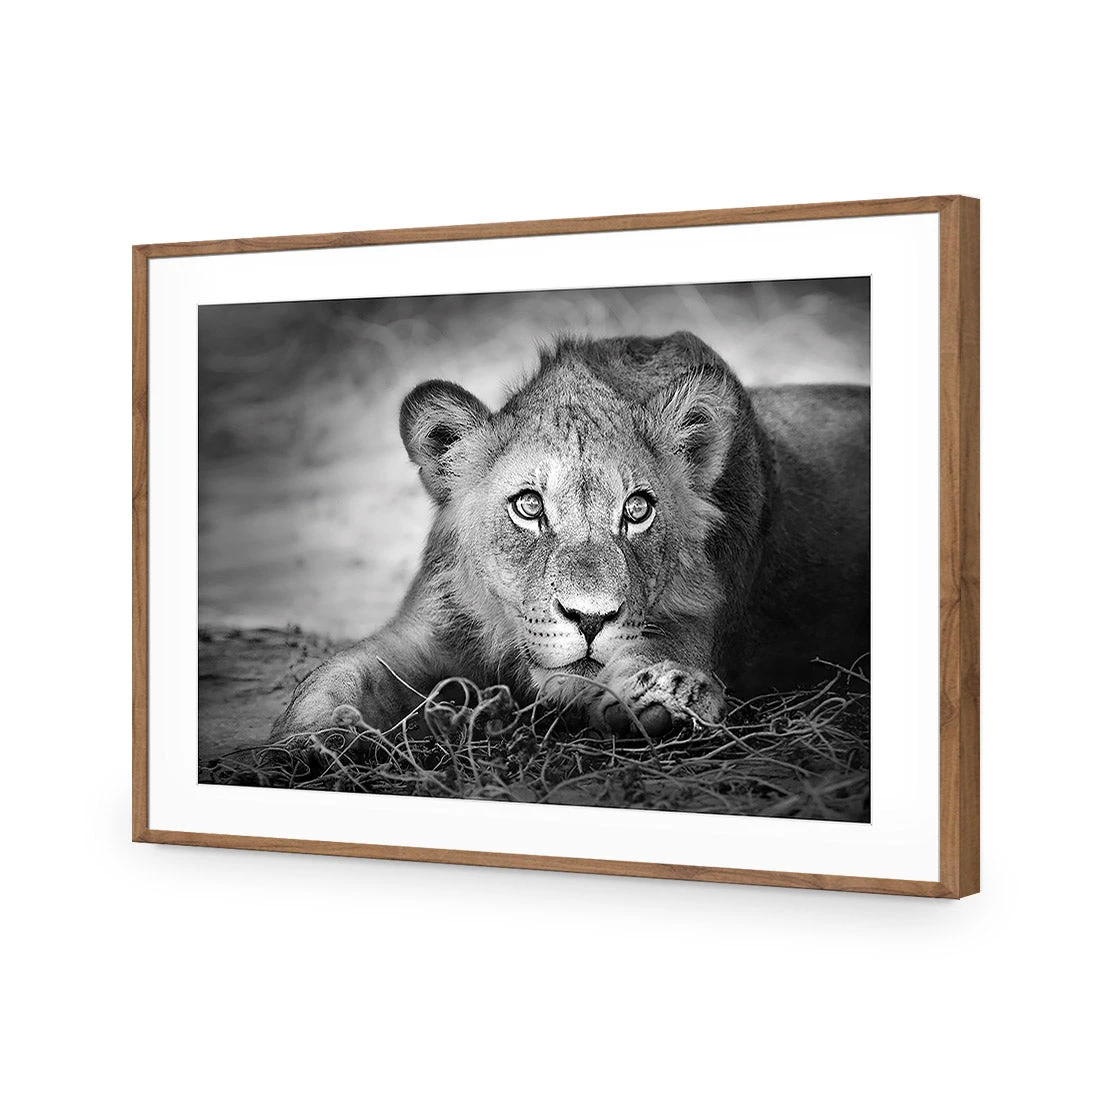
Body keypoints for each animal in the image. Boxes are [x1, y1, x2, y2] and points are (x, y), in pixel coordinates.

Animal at [272, 331, 869, 740]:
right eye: (529, 506)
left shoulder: (700, 623)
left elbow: (659, 655)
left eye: (637, 510)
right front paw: (305, 742)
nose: (589, 619)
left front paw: (667, 695)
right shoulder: (428, 630)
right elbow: (336, 674)